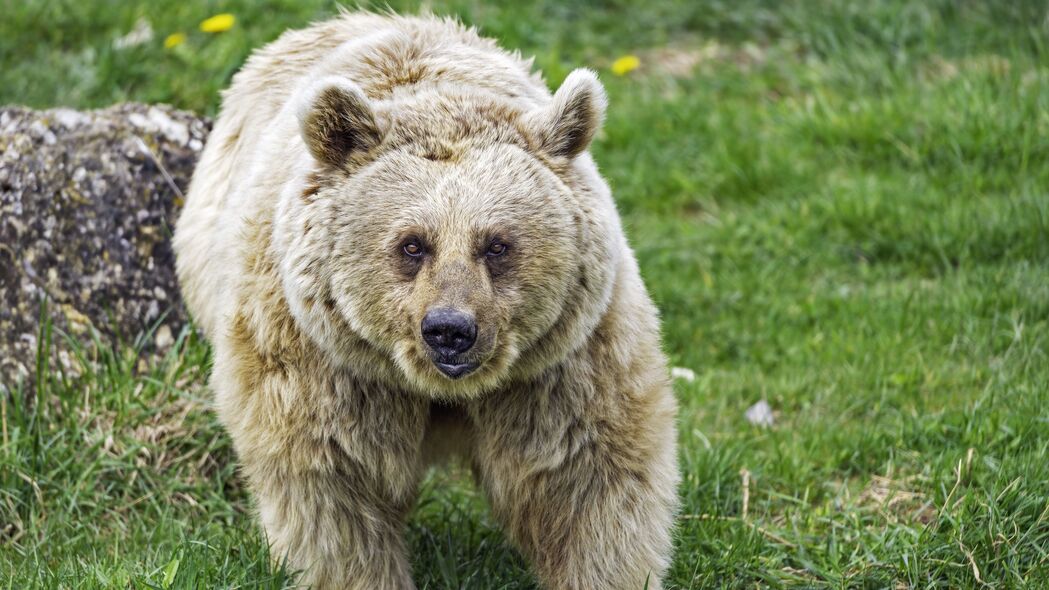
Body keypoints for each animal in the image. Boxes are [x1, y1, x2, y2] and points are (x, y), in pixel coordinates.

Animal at [172, 10, 679, 587]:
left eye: (497, 244)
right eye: (412, 244)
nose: (450, 330)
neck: (440, 394)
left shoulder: (559, 364)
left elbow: (587, 479)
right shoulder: (323, 362)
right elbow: (335, 492)